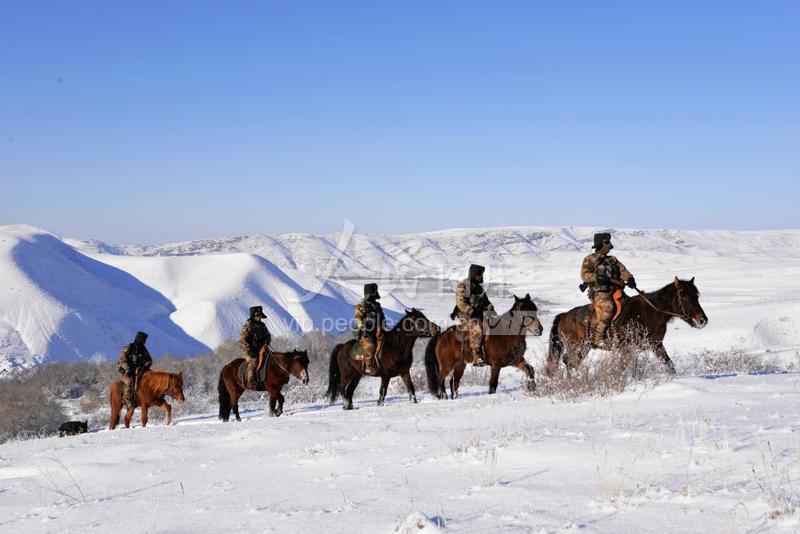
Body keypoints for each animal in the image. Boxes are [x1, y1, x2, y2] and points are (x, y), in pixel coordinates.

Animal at [546, 277, 708, 377]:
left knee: (570, 362)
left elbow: (669, 363)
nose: (702, 320)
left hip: (584, 348)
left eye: (696, 296)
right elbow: (626, 367)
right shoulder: (627, 348)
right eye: (684, 297)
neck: (651, 312)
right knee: (569, 361)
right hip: (576, 347)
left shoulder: (656, 345)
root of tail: (563, 316)